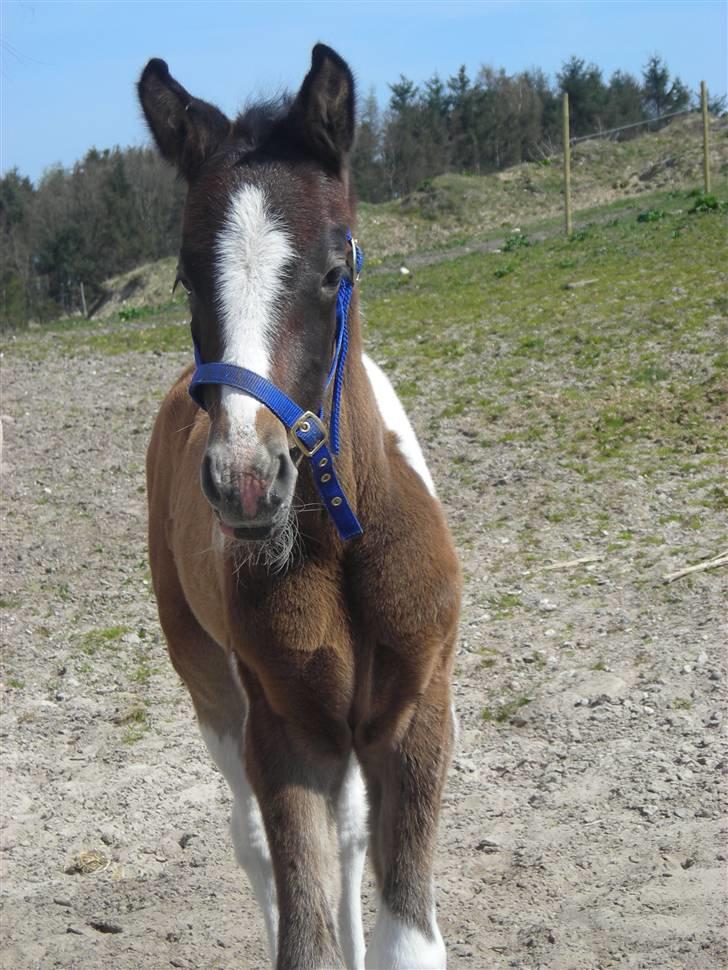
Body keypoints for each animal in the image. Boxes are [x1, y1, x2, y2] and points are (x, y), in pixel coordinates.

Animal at [138, 45, 460, 968]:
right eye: (185, 277)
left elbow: (408, 940)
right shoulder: (286, 730)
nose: (246, 477)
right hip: (208, 674)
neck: (343, 542)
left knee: (349, 838)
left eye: (331, 271)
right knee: (248, 838)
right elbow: (303, 939)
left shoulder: (416, 716)